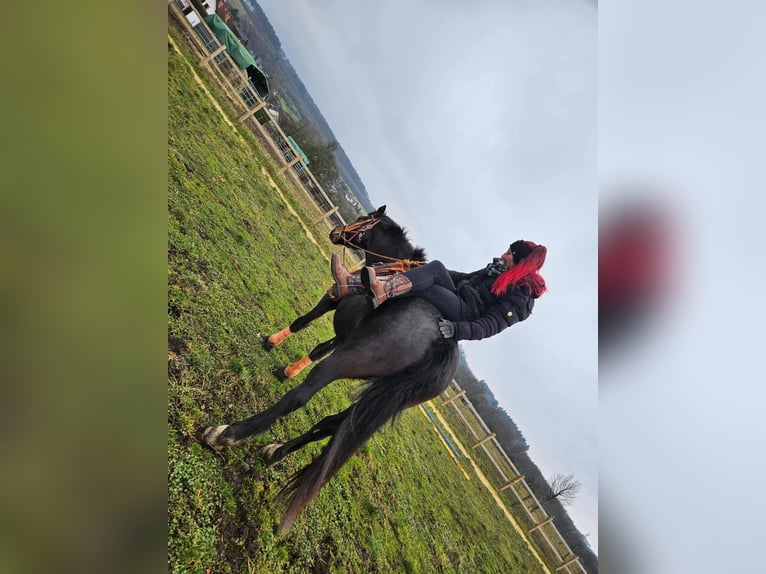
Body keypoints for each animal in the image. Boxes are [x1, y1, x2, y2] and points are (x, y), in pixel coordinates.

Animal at [202, 296, 459, 534]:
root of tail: (441, 339)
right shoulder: (344, 336)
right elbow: (320, 348)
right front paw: (287, 370)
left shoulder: (331, 299)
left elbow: (302, 322)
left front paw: (272, 344)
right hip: (380, 399)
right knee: (332, 425)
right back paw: (277, 452)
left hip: (344, 361)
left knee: (300, 397)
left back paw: (228, 434)